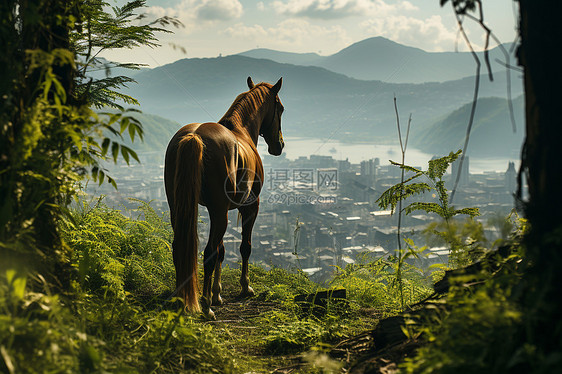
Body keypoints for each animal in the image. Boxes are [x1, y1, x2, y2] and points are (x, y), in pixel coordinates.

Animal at [164, 76, 282, 318]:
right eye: (281, 109)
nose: (280, 145)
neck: (242, 130)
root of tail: (195, 136)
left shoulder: (222, 208)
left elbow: (222, 250)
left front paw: (217, 293)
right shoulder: (249, 205)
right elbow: (244, 246)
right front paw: (244, 287)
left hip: (178, 205)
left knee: (179, 246)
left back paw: (182, 298)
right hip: (220, 210)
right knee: (208, 253)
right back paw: (206, 307)